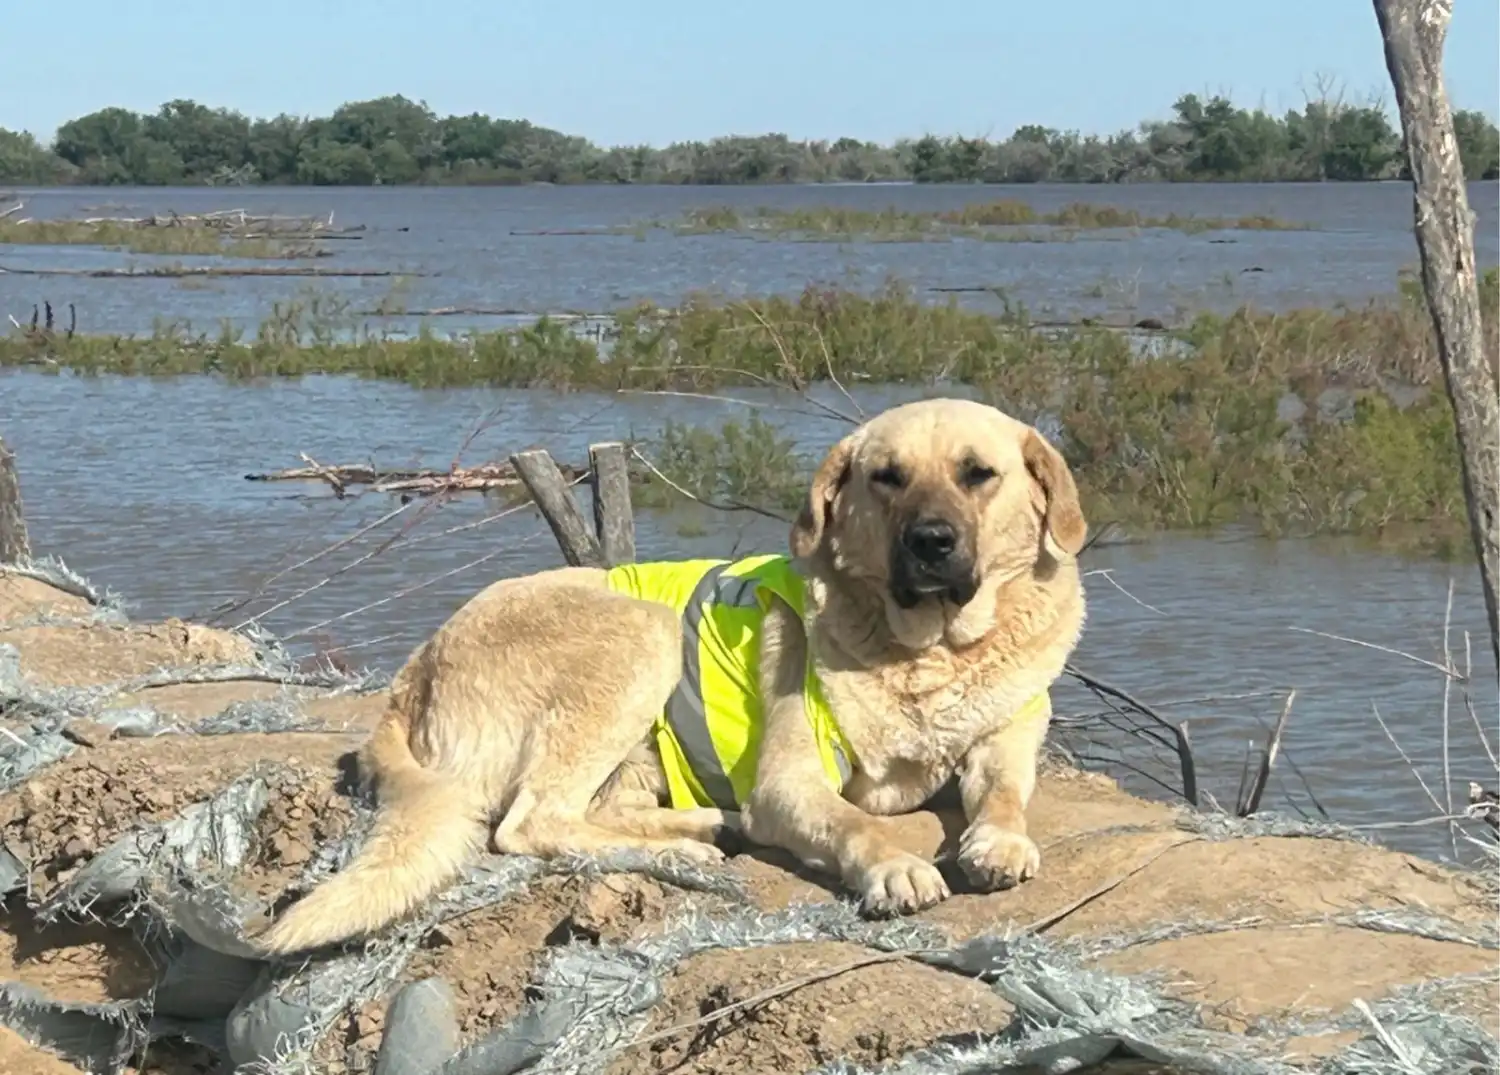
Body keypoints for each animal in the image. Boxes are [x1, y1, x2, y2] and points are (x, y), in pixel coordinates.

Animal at [252, 398, 1086, 953]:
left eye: (979, 475)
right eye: (887, 477)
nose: (931, 542)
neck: (930, 651)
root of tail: (414, 673)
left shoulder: (1005, 739)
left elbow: (1005, 792)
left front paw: (998, 841)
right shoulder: (790, 782)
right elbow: (854, 822)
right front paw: (894, 867)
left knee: (587, 808)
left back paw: (699, 825)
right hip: (641, 632)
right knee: (531, 821)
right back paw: (676, 851)